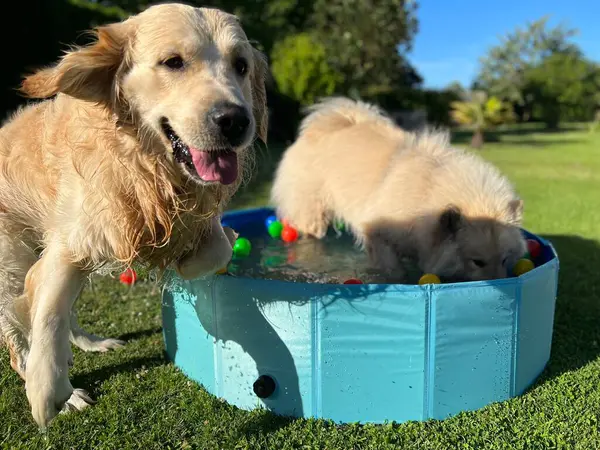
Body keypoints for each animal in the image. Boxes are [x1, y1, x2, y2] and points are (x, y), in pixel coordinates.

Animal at [0, 3, 268, 428]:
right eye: (173, 62)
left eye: (241, 66)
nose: (235, 120)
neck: (147, 165)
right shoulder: (72, 238)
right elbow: (48, 308)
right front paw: (47, 389)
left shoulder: (196, 219)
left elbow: (219, 248)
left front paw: (183, 263)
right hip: (11, 257)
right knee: (16, 325)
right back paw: (42, 374)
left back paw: (90, 344)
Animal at [272, 97, 524, 282]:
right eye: (477, 261)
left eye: (504, 259)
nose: (504, 284)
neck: (428, 190)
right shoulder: (378, 235)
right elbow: (393, 268)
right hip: (312, 214)